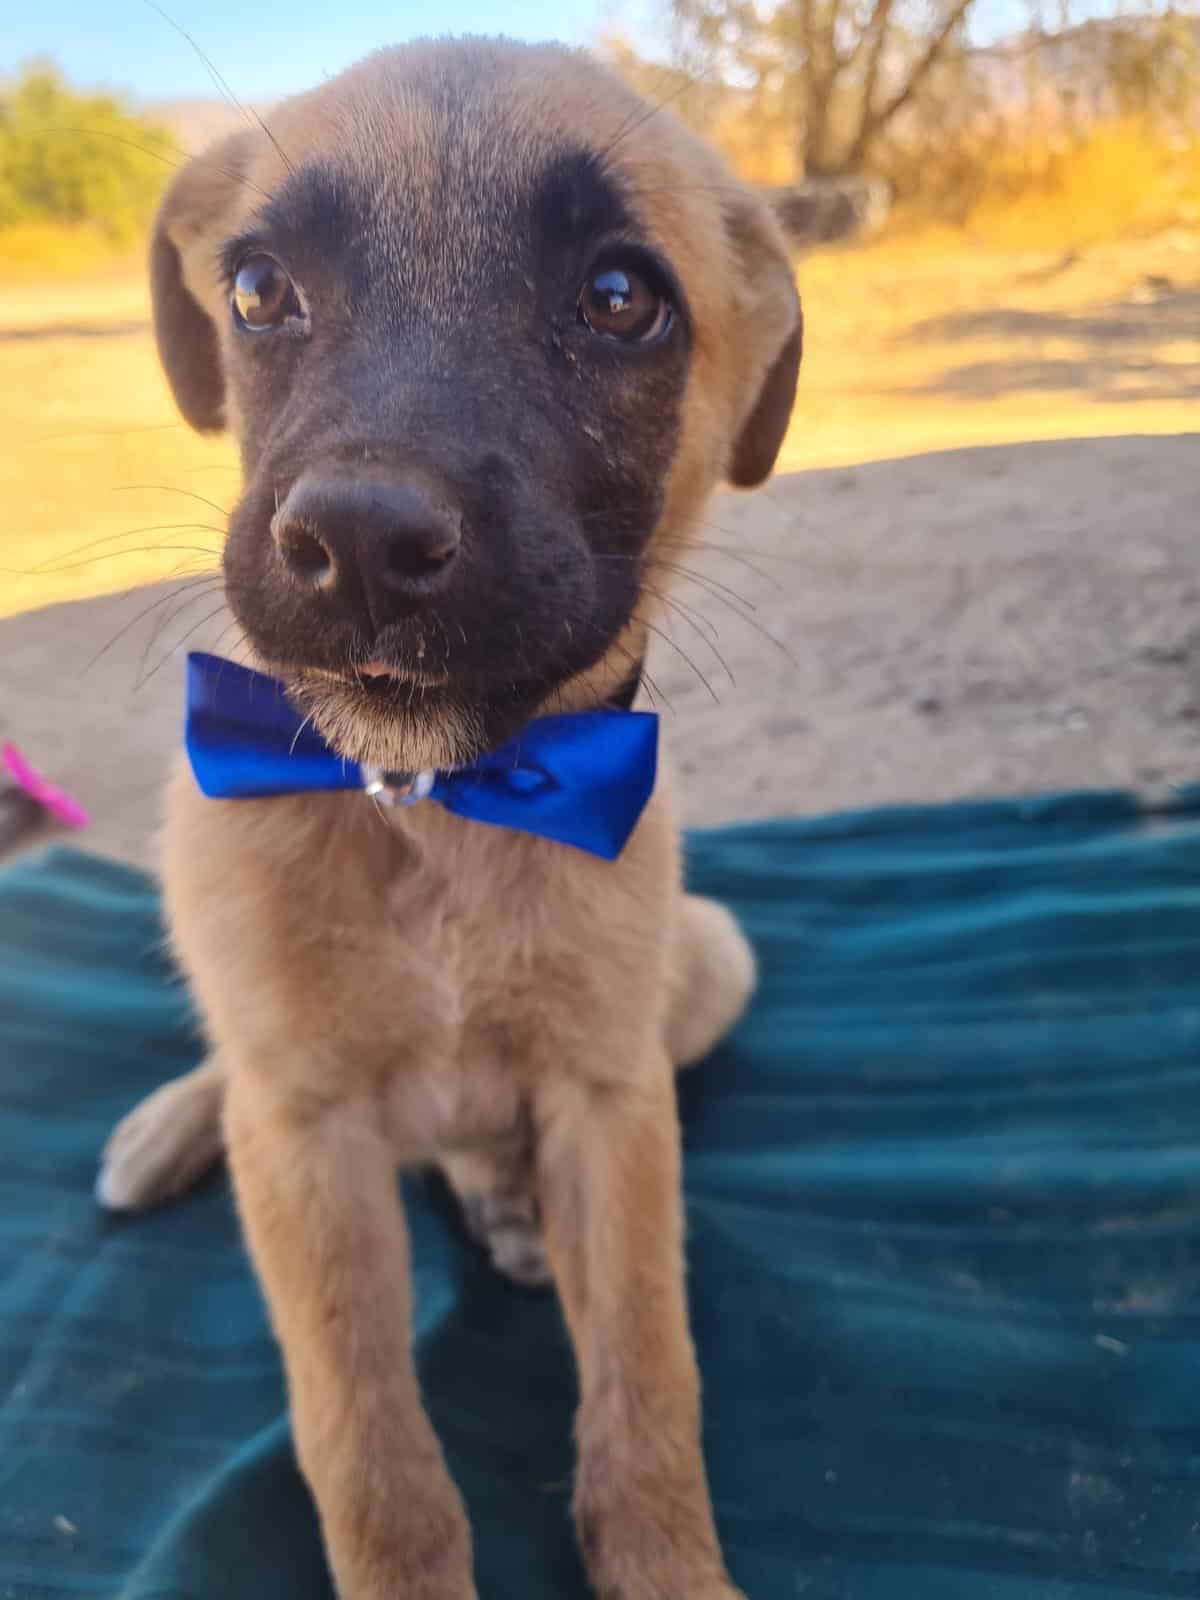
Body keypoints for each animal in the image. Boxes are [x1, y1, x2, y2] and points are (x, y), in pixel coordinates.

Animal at [101, 34, 800, 1600]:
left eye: (620, 298)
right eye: (258, 289)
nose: (357, 541)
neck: (426, 804)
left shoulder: (612, 1102)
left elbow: (650, 1384)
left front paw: (669, 1562)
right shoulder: (307, 1141)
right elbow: (366, 1447)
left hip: (710, 963)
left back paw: (502, 1201)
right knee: (227, 1064)